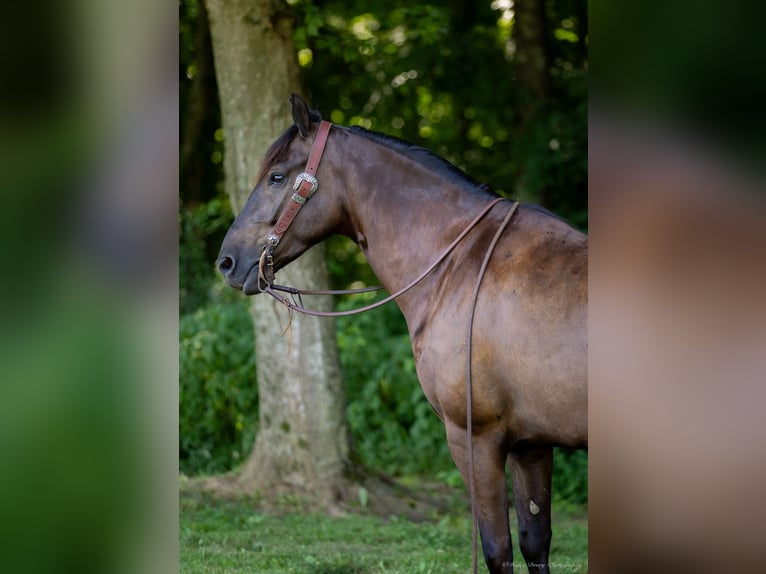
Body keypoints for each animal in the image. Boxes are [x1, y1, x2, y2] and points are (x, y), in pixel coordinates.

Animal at [219, 92, 592, 572]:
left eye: (277, 177)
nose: (227, 261)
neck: (459, 265)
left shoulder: (476, 440)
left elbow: (498, 550)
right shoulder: (531, 445)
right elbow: (534, 544)